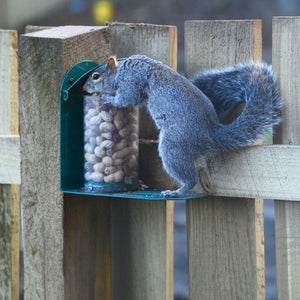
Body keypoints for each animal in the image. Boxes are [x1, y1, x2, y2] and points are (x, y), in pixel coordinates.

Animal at [83, 55, 282, 198]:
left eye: (95, 76)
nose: (84, 88)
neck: (120, 71)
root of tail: (211, 134)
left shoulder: (131, 81)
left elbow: (126, 99)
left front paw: (107, 98)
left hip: (173, 147)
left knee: (191, 178)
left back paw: (176, 192)